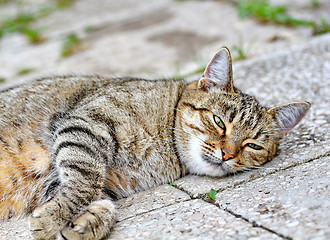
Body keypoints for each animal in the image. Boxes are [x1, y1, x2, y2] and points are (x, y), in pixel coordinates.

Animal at [0, 47, 310, 240]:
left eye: (253, 146)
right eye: (219, 121)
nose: (227, 154)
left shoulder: (81, 172)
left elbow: (95, 197)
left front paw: (89, 222)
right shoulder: (87, 125)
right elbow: (83, 185)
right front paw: (54, 219)